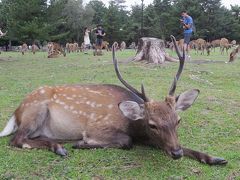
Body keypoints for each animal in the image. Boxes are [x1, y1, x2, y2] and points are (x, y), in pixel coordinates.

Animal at [0, 36, 227, 166]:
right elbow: (126, 141)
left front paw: (214, 158)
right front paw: (81, 144)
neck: (131, 124)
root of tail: (17, 111)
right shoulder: (96, 127)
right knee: (17, 139)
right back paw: (59, 147)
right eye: (152, 124)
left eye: (178, 120)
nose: (177, 153)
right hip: (35, 111)